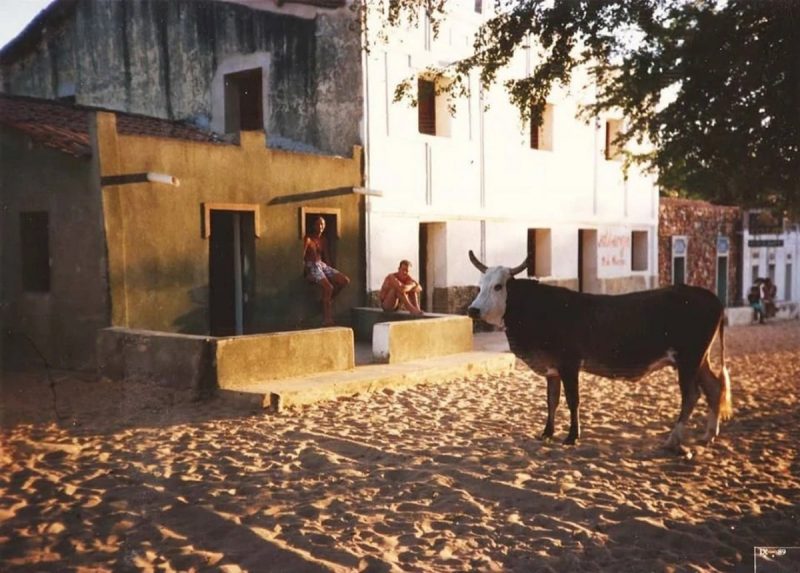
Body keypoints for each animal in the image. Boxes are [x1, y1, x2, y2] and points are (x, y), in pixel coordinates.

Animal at [462, 250, 732, 452]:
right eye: (479, 286)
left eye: (498, 287)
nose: (473, 310)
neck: (538, 309)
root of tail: (710, 297)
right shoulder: (552, 368)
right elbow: (552, 401)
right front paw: (547, 433)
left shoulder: (569, 364)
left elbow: (573, 400)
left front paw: (572, 436)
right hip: (699, 361)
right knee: (714, 387)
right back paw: (709, 435)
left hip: (689, 360)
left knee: (691, 395)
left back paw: (673, 439)